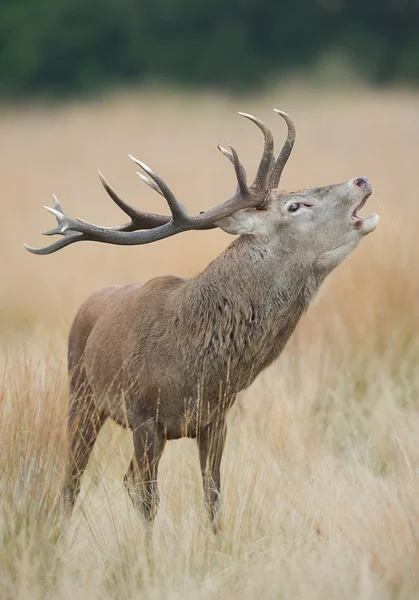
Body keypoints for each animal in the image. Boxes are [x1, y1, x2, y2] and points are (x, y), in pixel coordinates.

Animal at [25, 110, 380, 532]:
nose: (362, 180)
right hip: (81, 394)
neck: (197, 368)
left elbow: (213, 497)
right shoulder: (144, 417)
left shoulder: (216, 419)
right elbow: (150, 502)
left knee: (123, 479)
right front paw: (147, 548)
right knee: (73, 480)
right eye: (296, 206)